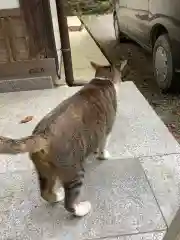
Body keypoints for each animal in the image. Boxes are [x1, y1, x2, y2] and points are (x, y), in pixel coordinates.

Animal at [0, 60, 126, 218]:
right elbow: (103, 144)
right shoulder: (107, 129)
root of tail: (43, 134)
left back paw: (56, 196)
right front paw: (103, 155)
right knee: (69, 202)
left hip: (45, 171)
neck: (102, 80)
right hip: (74, 171)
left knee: (45, 192)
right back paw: (81, 209)